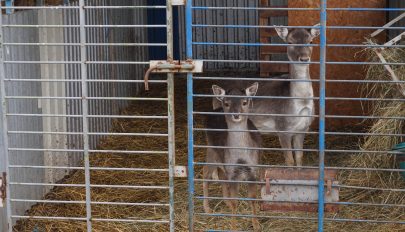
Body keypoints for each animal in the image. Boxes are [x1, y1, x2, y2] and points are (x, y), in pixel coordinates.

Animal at [202, 82, 262, 231]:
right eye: (227, 103)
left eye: (245, 102)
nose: (236, 114)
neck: (240, 157)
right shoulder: (233, 173)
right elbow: (236, 201)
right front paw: (234, 226)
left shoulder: (253, 170)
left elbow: (253, 198)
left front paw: (256, 225)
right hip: (211, 149)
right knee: (205, 172)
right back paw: (207, 208)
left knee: (221, 175)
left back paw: (226, 202)